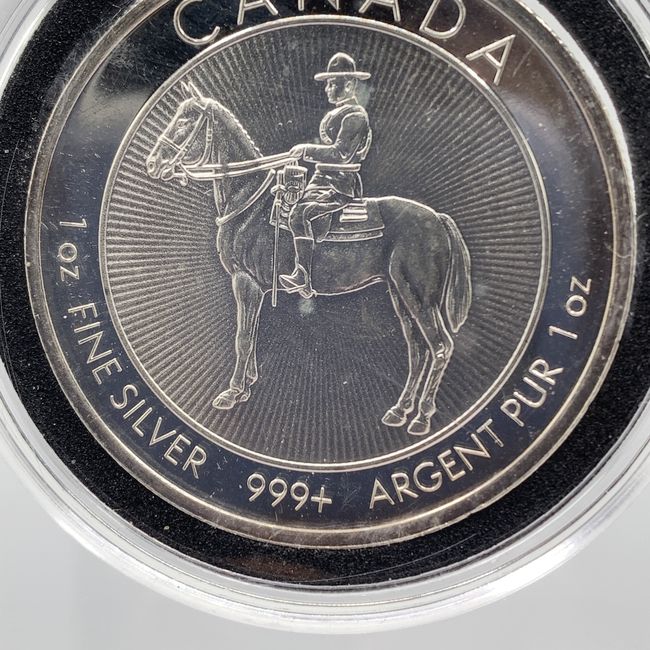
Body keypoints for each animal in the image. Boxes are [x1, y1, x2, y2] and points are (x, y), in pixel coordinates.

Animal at [145, 82, 472, 437]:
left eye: (184, 122)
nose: (152, 163)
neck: (248, 202)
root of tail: (437, 219)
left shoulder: (244, 282)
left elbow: (242, 337)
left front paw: (232, 393)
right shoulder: (255, 288)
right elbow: (252, 332)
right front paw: (247, 385)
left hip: (420, 298)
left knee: (439, 347)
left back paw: (422, 417)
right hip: (400, 293)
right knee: (417, 349)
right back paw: (400, 411)